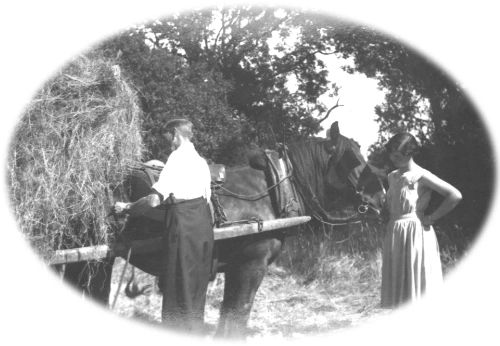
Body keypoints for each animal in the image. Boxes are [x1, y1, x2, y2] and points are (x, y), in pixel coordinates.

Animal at [61, 121, 382, 338]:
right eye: (353, 160)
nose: (381, 196)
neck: (271, 191)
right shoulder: (251, 265)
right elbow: (236, 317)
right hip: (95, 260)